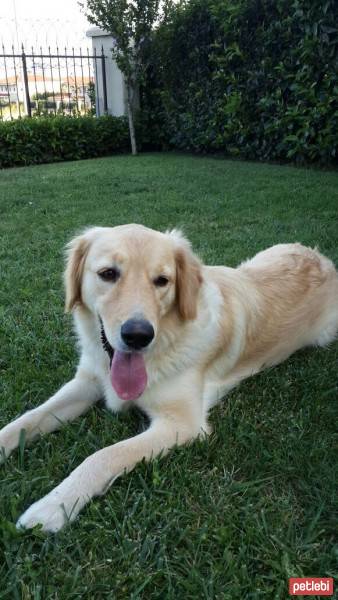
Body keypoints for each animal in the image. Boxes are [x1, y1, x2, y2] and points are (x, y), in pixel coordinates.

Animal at [0, 224, 338, 528]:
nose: (138, 335)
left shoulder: (183, 424)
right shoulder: (86, 383)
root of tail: (320, 258)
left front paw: (54, 506)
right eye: (108, 273)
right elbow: (27, 419)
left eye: (162, 281)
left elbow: (104, 455)